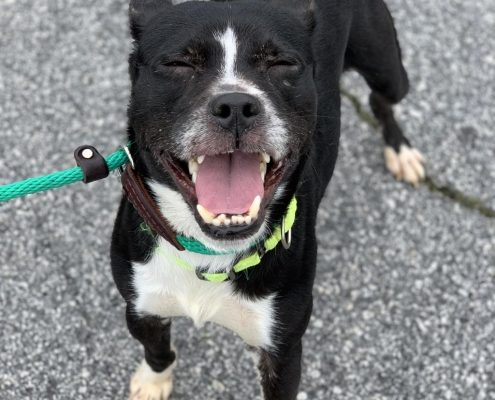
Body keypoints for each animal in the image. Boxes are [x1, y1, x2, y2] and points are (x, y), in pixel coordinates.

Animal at [111, 1, 426, 398]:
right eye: (178, 65)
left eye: (282, 64)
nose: (235, 104)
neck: (208, 251)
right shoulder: (140, 306)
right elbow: (157, 350)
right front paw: (154, 381)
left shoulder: (283, 350)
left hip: (387, 67)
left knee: (382, 99)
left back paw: (400, 150)